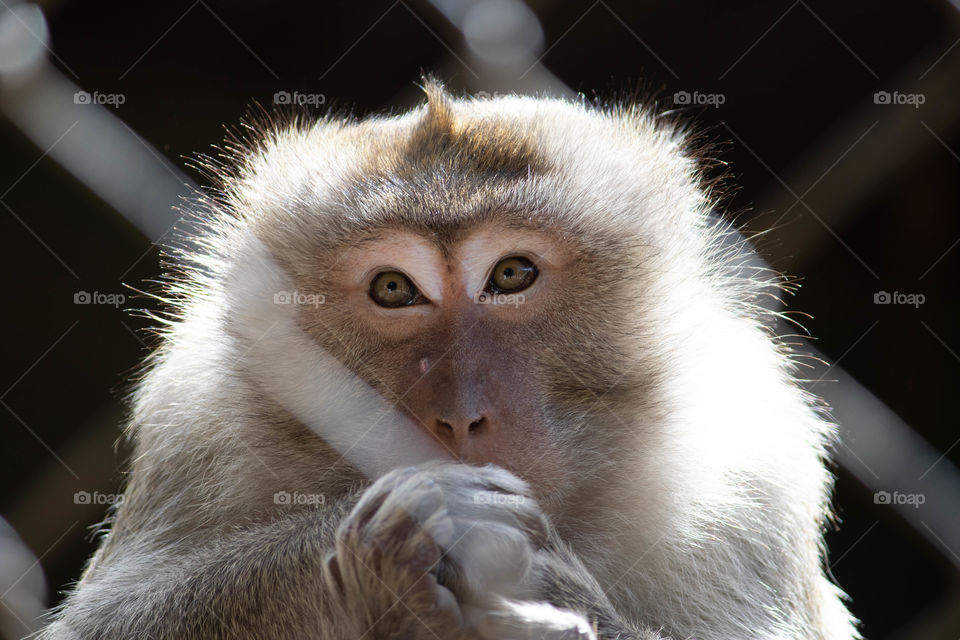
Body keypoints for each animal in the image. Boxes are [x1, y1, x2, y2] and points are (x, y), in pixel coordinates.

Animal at [39, 80, 858, 640]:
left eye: (512, 274)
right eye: (394, 289)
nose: (460, 418)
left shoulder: (752, 471)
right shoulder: (193, 419)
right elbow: (106, 624)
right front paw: (388, 544)